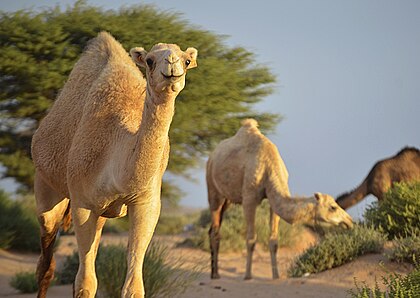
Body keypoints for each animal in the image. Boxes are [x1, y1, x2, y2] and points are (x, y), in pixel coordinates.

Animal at [31, 31, 199, 296]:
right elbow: (85, 283)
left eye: (186, 60)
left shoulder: (146, 202)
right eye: (150, 60)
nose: (172, 65)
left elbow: (133, 286)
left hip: (100, 211)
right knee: (46, 260)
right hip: (46, 184)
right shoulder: (82, 201)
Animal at [205, 118, 352, 280]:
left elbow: (274, 241)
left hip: (228, 200)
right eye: (333, 207)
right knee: (215, 228)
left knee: (213, 228)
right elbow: (251, 239)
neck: (269, 167)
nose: (349, 221)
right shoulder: (249, 199)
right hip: (213, 190)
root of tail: (211, 157)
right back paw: (215, 275)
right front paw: (248, 276)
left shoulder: (272, 201)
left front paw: (276, 276)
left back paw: (214, 272)